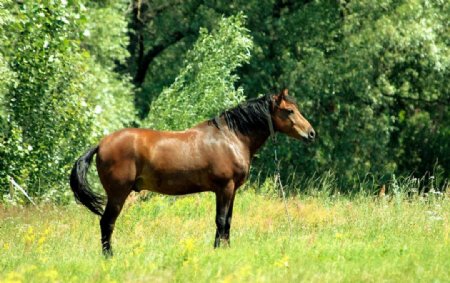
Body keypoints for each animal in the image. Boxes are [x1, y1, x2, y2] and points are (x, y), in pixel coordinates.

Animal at [71, 89, 316, 258]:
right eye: (290, 111)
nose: (311, 133)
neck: (231, 138)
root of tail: (101, 144)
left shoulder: (232, 190)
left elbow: (228, 221)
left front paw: (226, 248)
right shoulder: (224, 188)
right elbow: (220, 220)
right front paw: (218, 250)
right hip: (117, 194)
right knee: (107, 223)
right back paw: (109, 256)